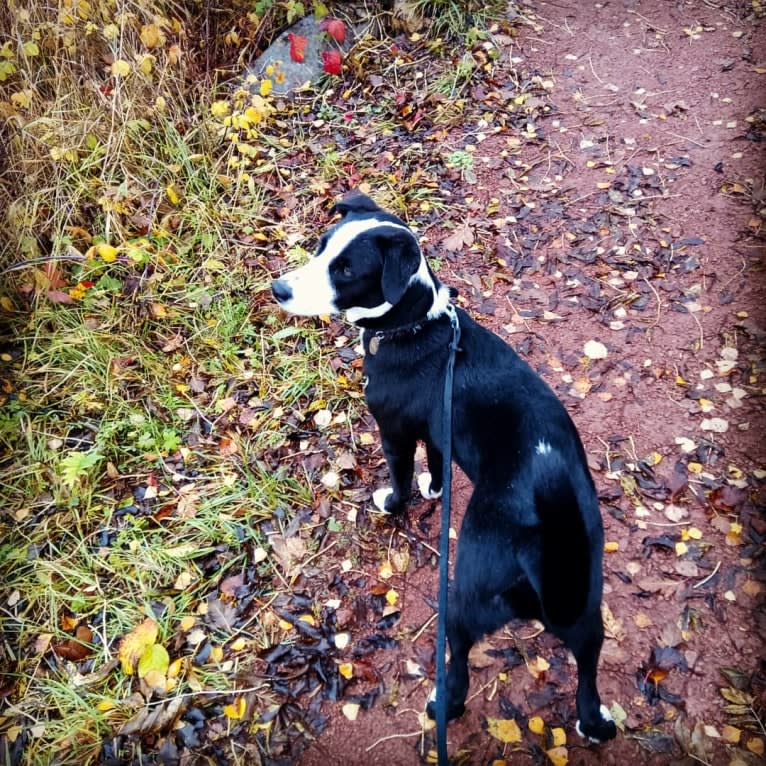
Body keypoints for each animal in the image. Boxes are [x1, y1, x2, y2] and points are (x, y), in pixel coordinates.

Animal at [272, 192, 620, 744]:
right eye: (321, 246)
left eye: (346, 269)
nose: (278, 289)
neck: (413, 324)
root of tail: (547, 527)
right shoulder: (438, 429)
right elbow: (436, 465)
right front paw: (435, 489)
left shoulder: (394, 432)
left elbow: (398, 480)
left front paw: (392, 504)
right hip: (586, 611)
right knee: (587, 679)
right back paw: (595, 724)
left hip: (462, 605)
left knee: (456, 672)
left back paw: (441, 706)